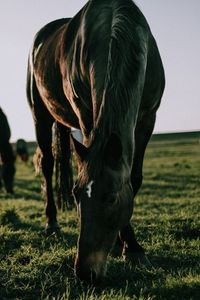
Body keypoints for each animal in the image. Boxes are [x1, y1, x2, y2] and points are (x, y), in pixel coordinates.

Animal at [26, 0, 164, 282]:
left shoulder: (148, 118)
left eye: (111, 198)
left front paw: (130, 247)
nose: (85, 272)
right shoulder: (86, 113)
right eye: (77, 195)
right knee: (47, 164)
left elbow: (134, 178)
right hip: (40, 115)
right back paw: (52, 223)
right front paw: (128, 246)